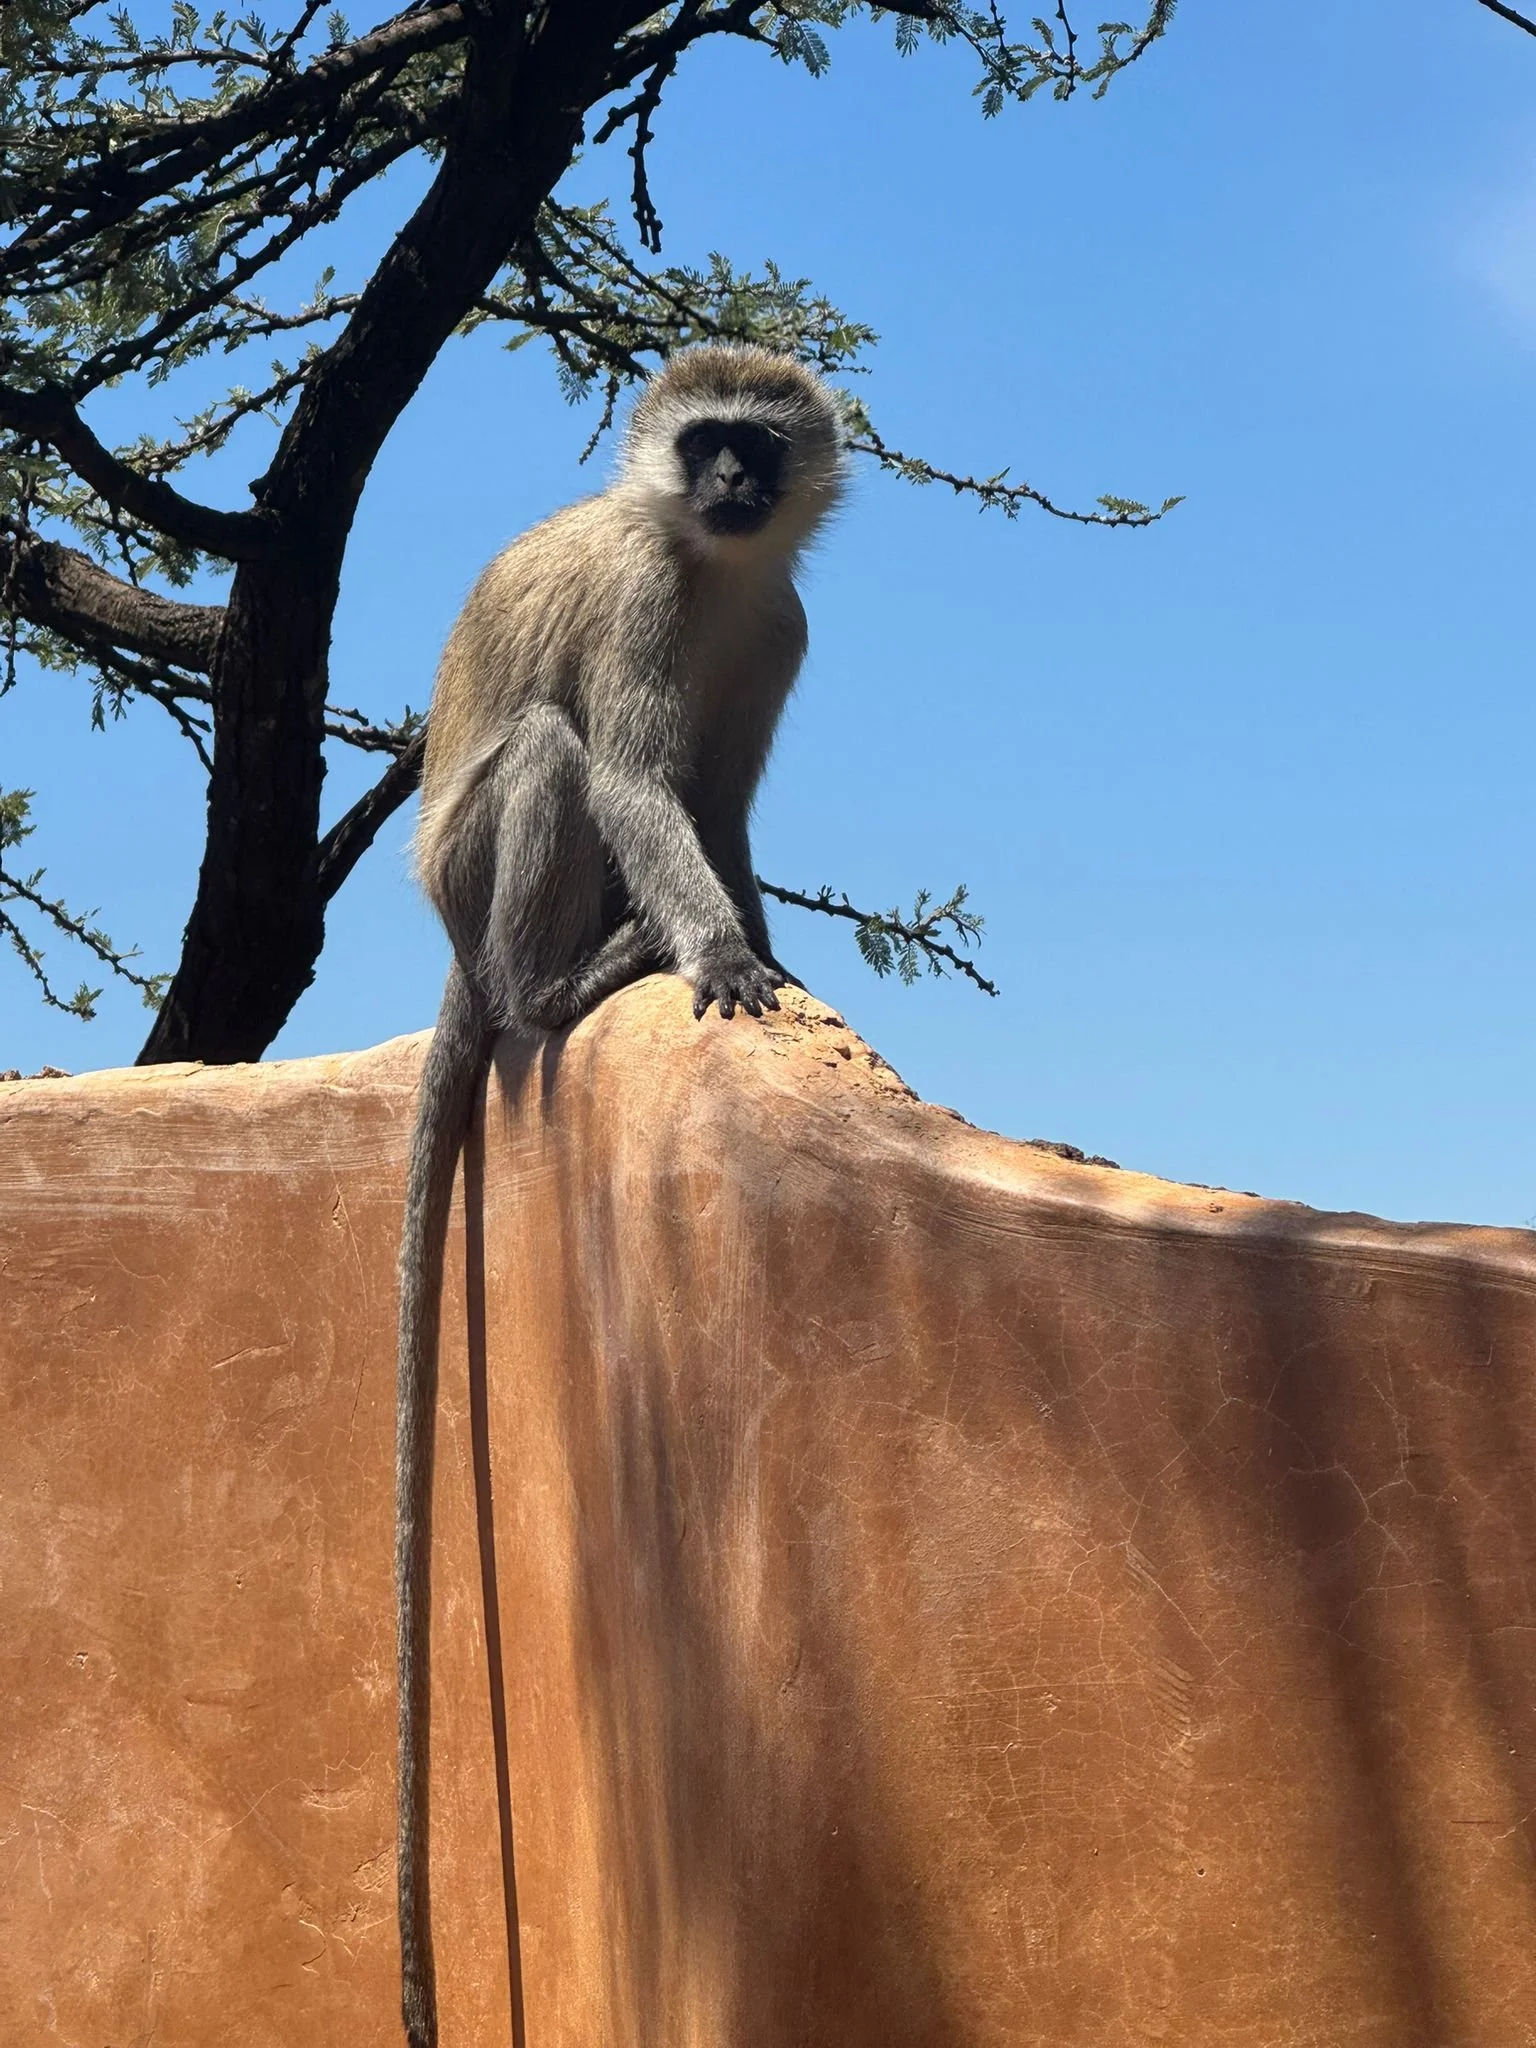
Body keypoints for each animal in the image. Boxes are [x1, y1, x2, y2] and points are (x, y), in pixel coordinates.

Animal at [395, 344, 846, 2048]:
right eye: (705, 439)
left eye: (755, 451)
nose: (725, 486)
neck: (712, 566)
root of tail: (455, 948)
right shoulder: (655, 601)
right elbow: (646, 781)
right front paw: (719, 950)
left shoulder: (779, 624)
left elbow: (718, 816)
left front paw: (758, 937)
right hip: (473, 871)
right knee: (547, 749)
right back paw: (555, 989)